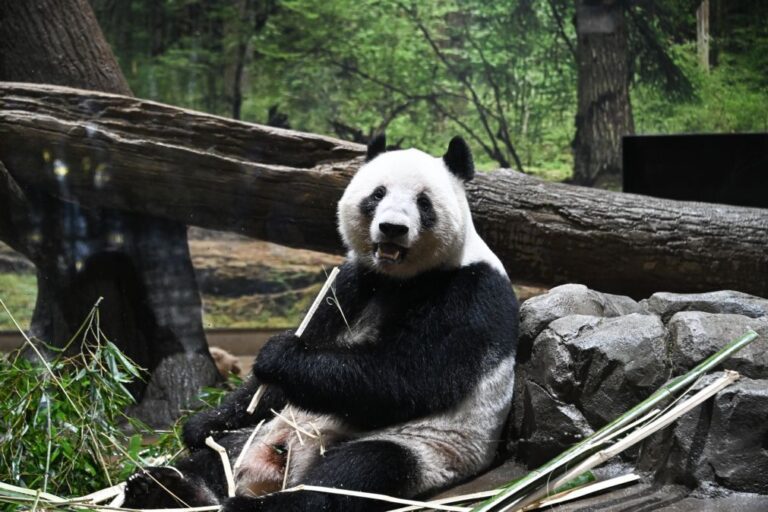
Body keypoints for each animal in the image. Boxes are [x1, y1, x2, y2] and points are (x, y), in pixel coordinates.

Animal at [122, 135, 519, 512]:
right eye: (378, 194)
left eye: (424, 202)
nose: (392, 228)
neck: (400, 279)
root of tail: (277, 469)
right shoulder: (352, 282)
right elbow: (273, 386)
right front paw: (200, 424)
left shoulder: (468, 293)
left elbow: (410, 376)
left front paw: (279, 355)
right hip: (261, 432)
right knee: (217, 457)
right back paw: (166, 488)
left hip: (426, 448)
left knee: (354, 473)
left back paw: (255, 506)